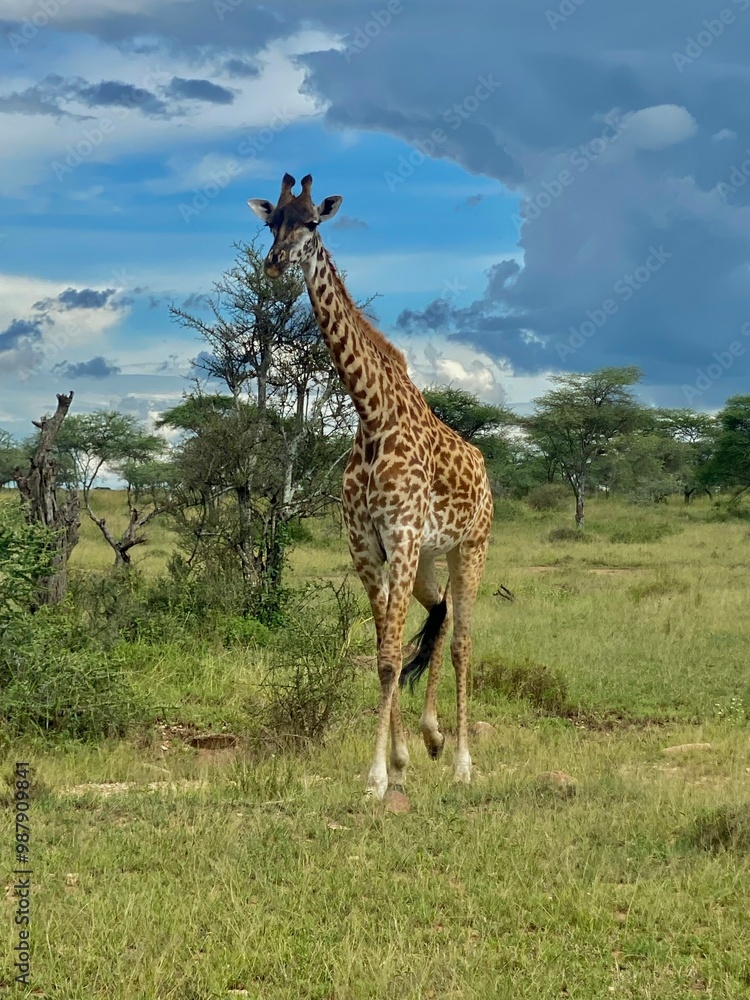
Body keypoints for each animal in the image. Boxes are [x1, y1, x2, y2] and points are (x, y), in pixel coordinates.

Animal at [248, 173, 493, 799]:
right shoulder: (366, 546)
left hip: (469, 546)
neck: (372, 413)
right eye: (272, 221)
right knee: (443, 615)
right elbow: (385, 650)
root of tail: (484, 468)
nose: (275, 263)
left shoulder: (400, 536)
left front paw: (377, 776)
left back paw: (463, 762)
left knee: (464, 642)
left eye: (312, 222)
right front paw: (400, 762)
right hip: (429, 559)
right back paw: (433, 738)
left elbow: (387, 657)